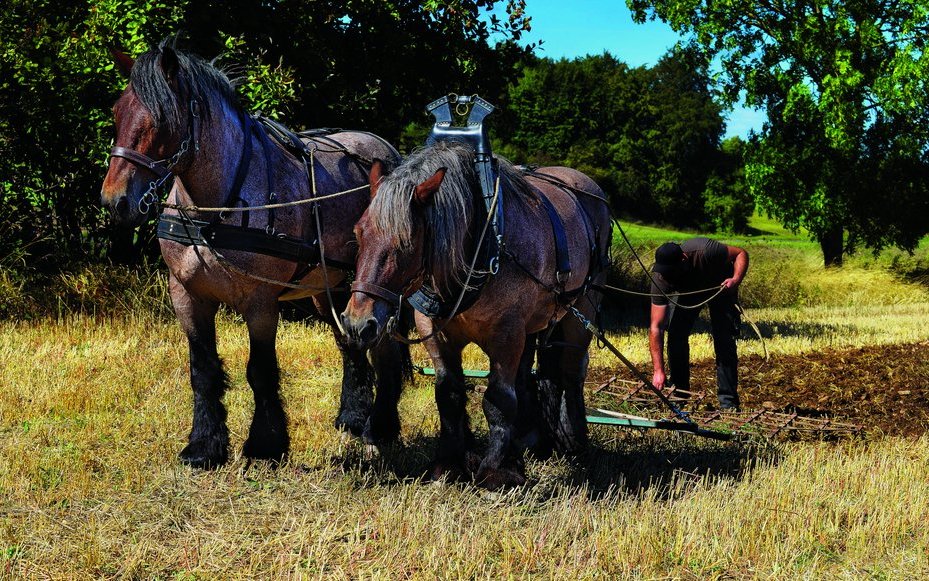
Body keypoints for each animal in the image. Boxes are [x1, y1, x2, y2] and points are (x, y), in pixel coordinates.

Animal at [99, 40, 408, 466]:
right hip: (330, 288)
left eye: (162, 120)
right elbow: (203, 370)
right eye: (117, 111)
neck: (215, 208)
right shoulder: (186, 295)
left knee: (386, 349)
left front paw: (265, 444)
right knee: (351, 341)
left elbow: (260, 370)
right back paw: (353, 415)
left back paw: (382, 426)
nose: (116, 201)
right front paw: (204, 445)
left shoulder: (260, 302)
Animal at [340, 142, 608, 490]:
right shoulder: (436, 331)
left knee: (572, 372)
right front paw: (449, 464)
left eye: (408, 242)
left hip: (580, 312)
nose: (358, 324)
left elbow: (499, 399)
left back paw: (574, 439)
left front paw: (496, 471)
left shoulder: (507, 333)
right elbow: (449, 394)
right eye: (359, 233)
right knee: (528, 375)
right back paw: (528, 440)